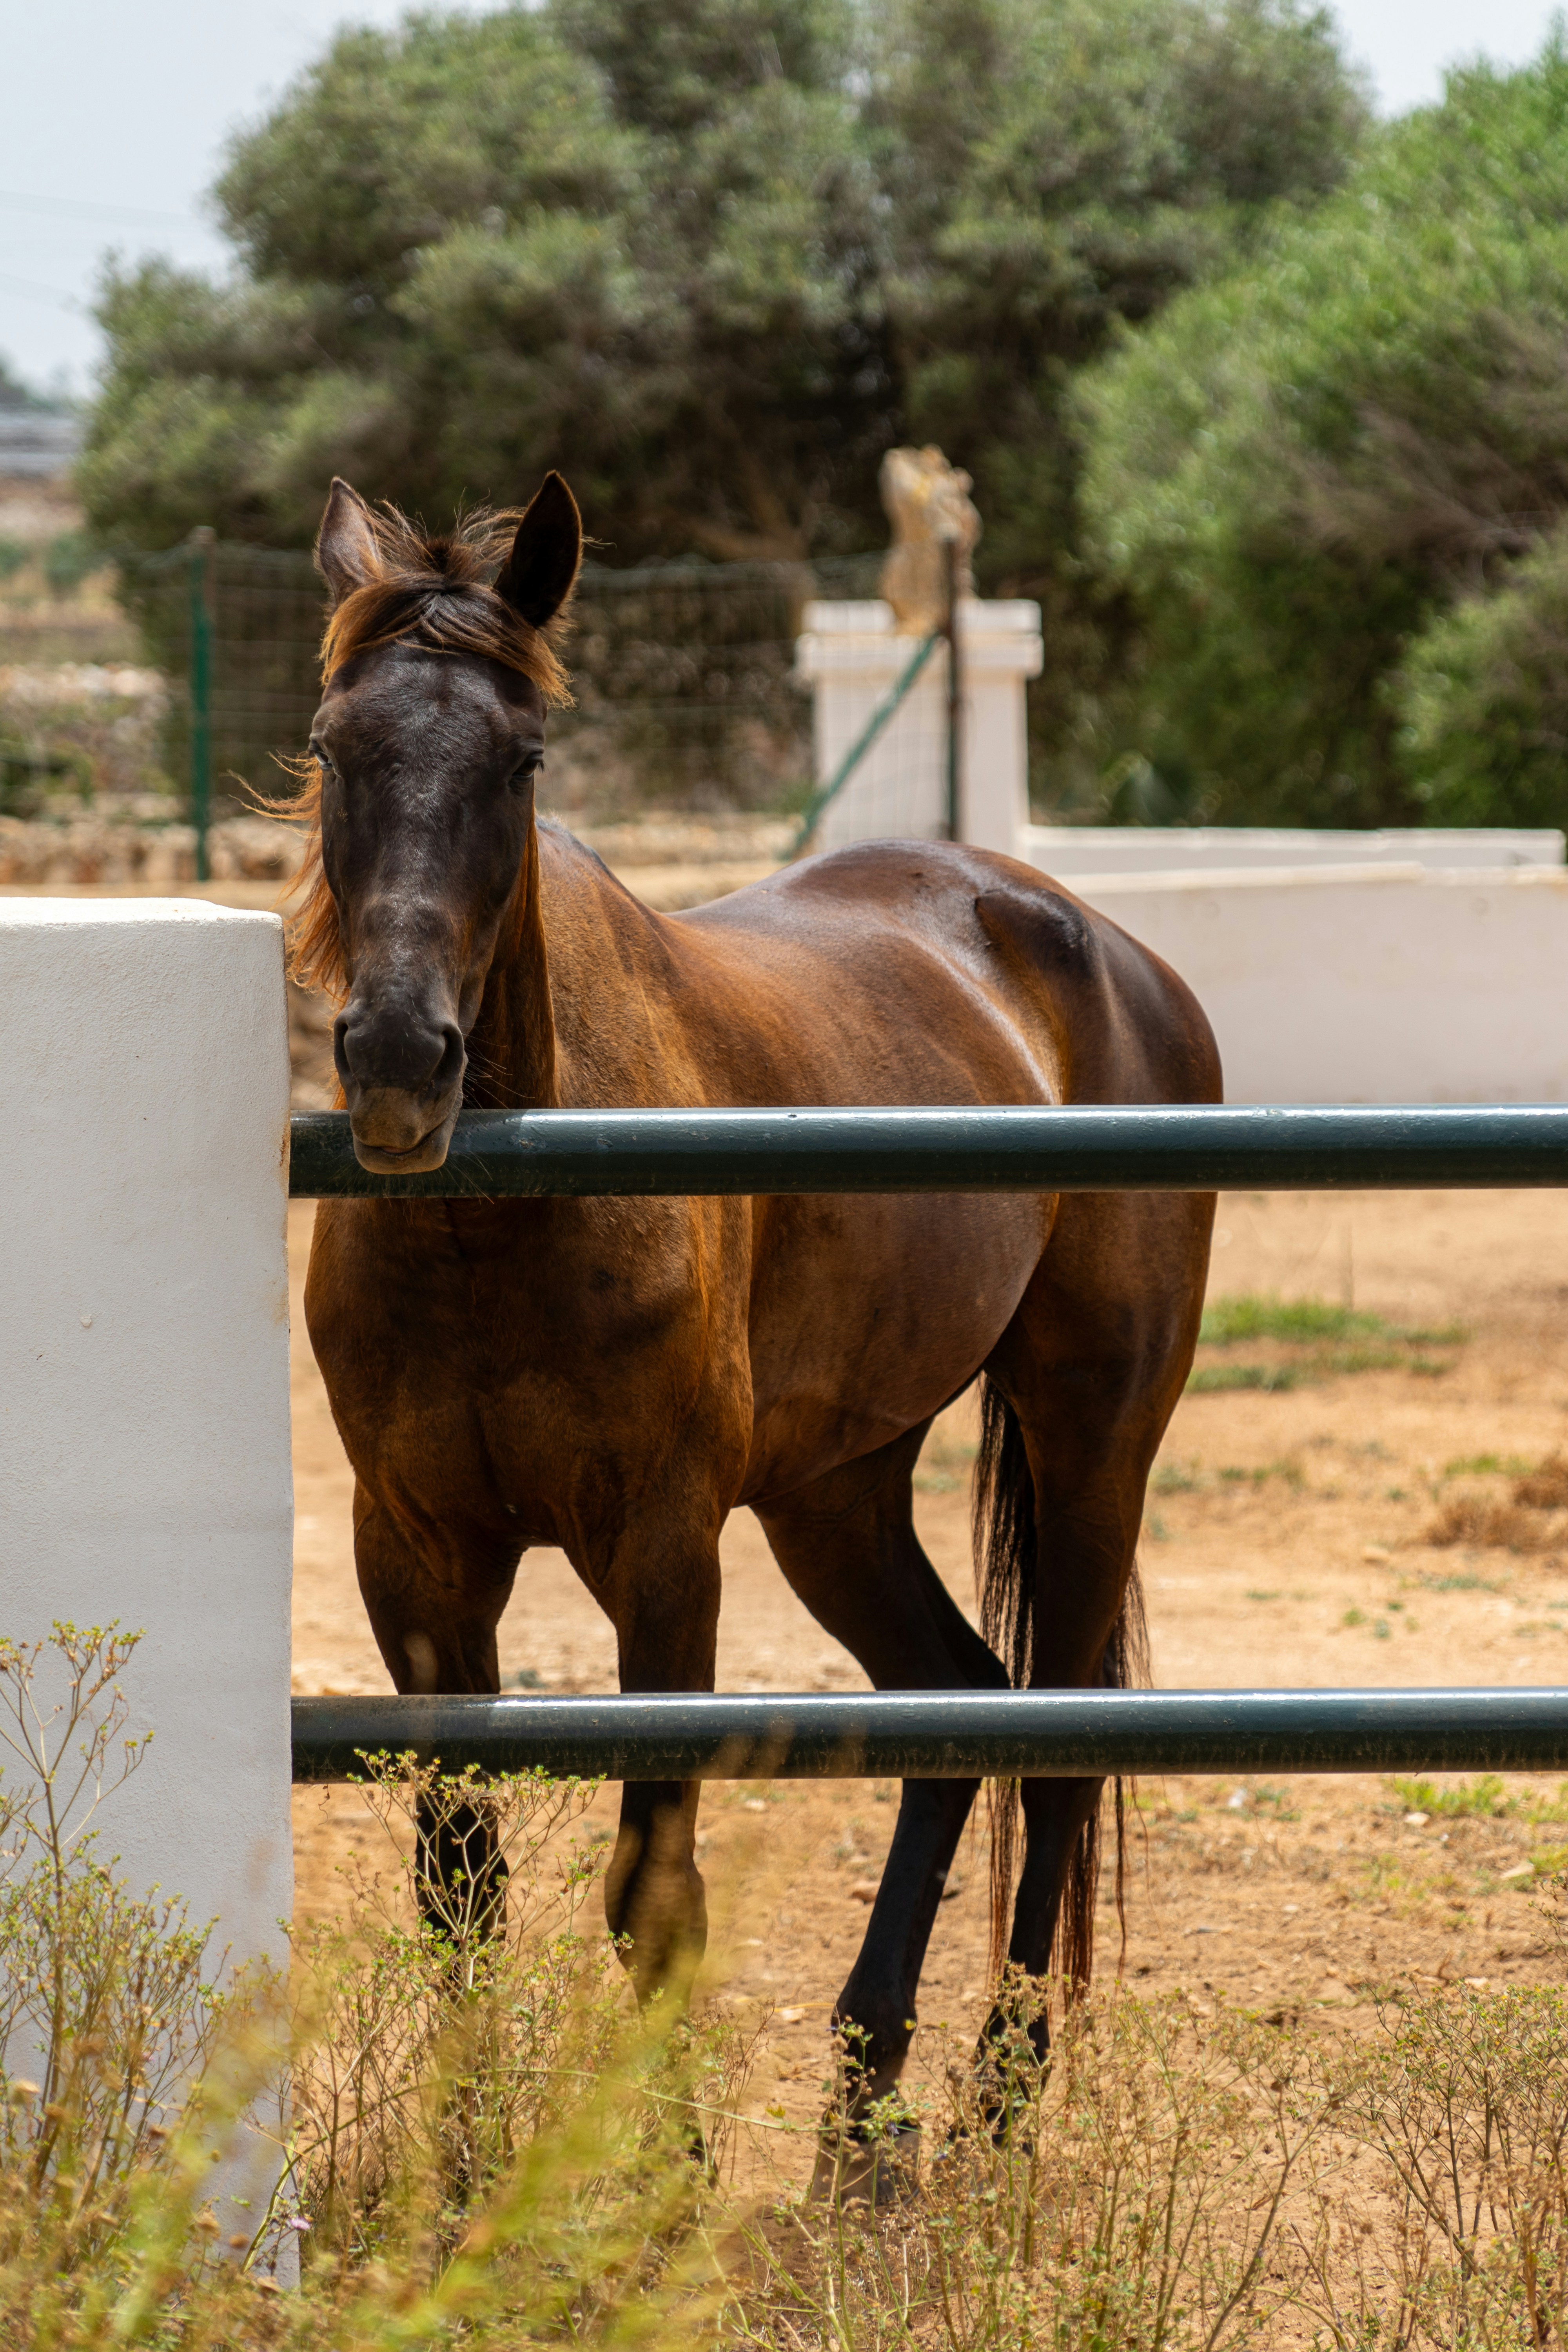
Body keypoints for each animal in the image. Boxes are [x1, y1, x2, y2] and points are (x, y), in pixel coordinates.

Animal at [295, 469, 1221, 2119]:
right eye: (338, 746)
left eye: (522, 760)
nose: (400, 1058)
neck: (494, 1227)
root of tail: (1089, 943)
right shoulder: (411, 1555)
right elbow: (458, 1878)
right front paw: (466, 2157)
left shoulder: (663, 1546)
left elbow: (654, 1895)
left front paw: (661, 2167)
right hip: (834, 1492)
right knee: (953, 1699)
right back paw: (863, 2077)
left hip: (1094, 1438)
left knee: (1057, 1734)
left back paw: (999, 2094)